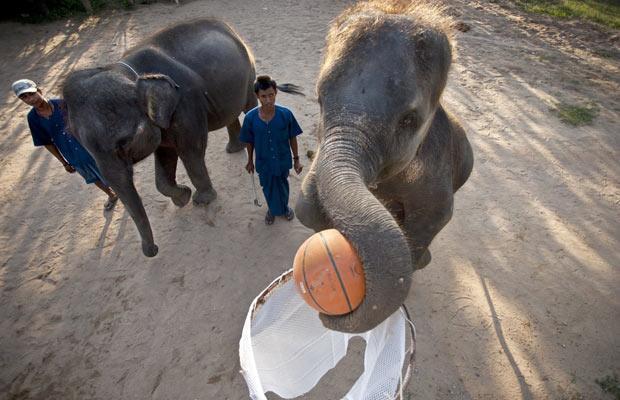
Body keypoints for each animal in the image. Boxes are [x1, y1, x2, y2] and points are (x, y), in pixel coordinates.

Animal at [62, 18, 298, 258]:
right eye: (82, 145)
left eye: (124, 142)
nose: (153, 250)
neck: (128, 72)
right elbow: (165, 155)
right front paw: (182, 197)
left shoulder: (185, 104)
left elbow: (190, 150)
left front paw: (201, 200)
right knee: (230, 114)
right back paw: (234, 148)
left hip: (249, 74)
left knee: (248, 107)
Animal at [294, 1, 472, 332]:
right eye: (319, 100)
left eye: (409, 120)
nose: (326, 318)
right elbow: (306, 208)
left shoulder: (435, 165)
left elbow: (437, 215)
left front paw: (414, 266)